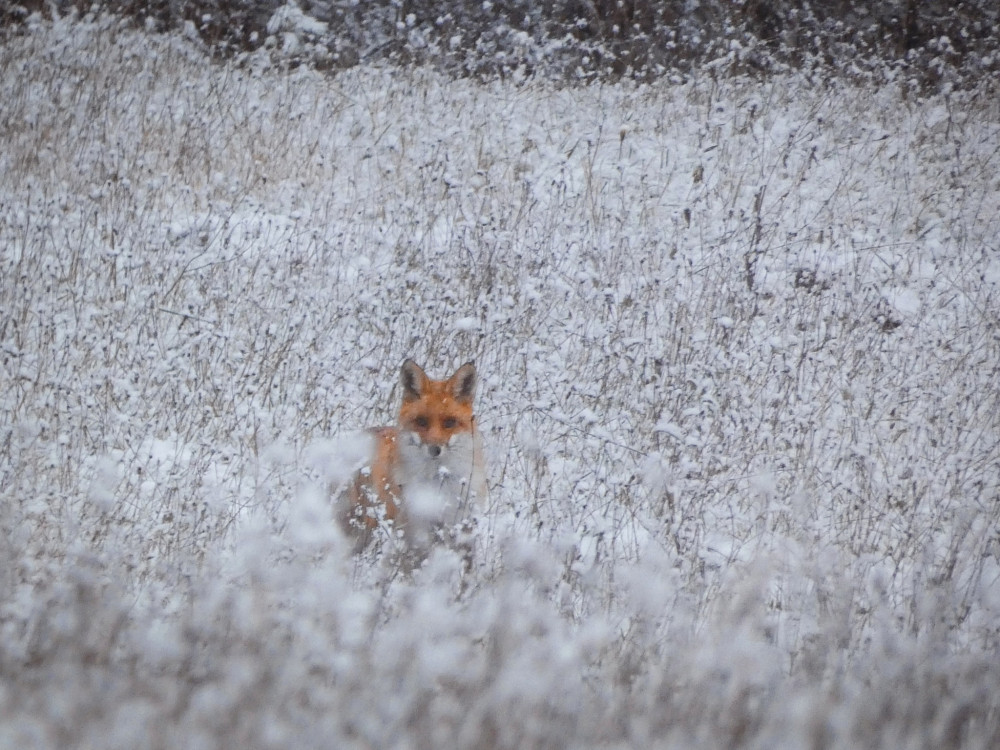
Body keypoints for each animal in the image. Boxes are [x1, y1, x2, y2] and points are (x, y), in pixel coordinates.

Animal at [342, 362, 486, 548]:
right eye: (421, 422)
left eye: (449, 423)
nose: (434, 449)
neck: (437, 481)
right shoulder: (416, 530)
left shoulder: (461, 525)